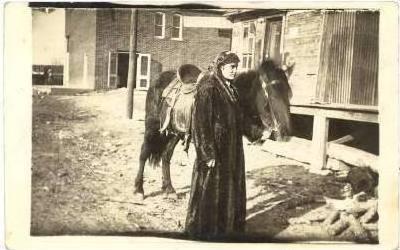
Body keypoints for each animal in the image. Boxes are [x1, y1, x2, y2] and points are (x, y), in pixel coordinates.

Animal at [133, 59, 292, 200]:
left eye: (289, 94)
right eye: (271, 94)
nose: (286, 133)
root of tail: (158, 80)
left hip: (175, 132)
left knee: (166, 156)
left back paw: (169, 189)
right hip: (152, 126)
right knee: (143, 153)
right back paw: (138, 190)